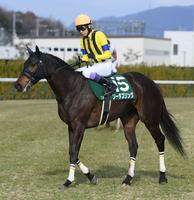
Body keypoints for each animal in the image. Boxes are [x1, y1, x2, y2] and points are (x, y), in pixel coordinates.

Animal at [14, 46, 185, 190]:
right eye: (25, 64)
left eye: (33, 64)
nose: (18, 85)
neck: (72, 88)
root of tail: (151, 83)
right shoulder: (71, 126)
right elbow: (72, 152)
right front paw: (90, 176)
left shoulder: (79, 125)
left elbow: (74, 152)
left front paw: (69, 181)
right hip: (129, 121)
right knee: (133, 146)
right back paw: (128, 179)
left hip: (150, 119)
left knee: (160, 140)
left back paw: (162, 177)